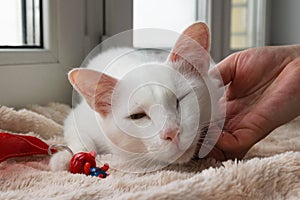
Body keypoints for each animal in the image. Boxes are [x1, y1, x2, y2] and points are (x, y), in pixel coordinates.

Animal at [50, 22, 221, 171]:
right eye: (137, 116)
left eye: (180, 100)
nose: (172, 133)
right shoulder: (76, 118)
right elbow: (80, 138)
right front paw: (67, 157)